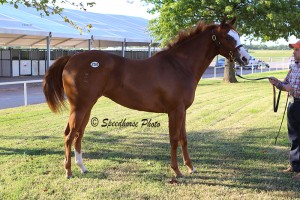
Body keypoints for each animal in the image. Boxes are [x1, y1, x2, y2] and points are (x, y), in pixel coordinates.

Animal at [42, 18, 248, 178]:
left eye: (238, 35)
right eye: (227, 37)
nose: (245, 59)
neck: (179, 65)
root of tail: (71, 59)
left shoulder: (182, 111)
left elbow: (184, 138)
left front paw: (190, 167)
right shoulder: (175, 110)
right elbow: (174, 138)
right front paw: (176, 171)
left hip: (87, 107)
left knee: (78, 134)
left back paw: (82, 168)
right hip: (80, 107)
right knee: (69, 135)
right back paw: (69, 172)